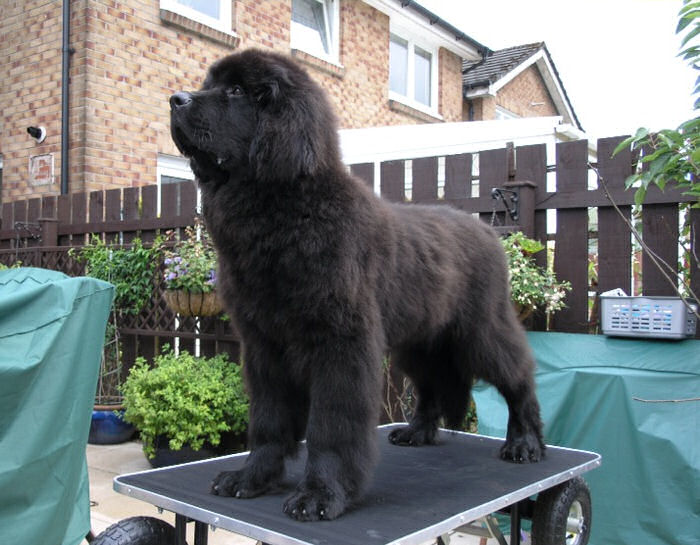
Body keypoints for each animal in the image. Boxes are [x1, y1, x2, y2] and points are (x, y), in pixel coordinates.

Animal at [171, 49, 548, 520]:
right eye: (210, 85)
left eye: (237, 91)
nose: (175, 99)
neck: (286, 214)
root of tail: (488, 230)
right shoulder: (263, 344)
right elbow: (268, 419)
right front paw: (252, 478)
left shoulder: (340, 343)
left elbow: (331, 425)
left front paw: (320, 494)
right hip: (418, 342)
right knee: (431, 384)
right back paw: (417, 432)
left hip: (479, 332)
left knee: (519, 375)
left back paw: (525, 442)